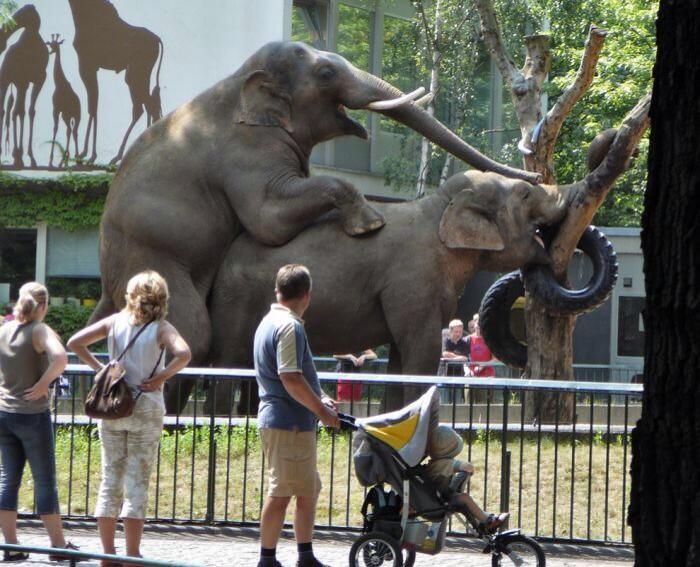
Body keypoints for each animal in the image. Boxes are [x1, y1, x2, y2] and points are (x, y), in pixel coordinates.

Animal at [0, 4, 48, 169]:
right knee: (7, 111)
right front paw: (19, 156)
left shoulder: (38, 80)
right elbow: (19, 112)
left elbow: (30, 111)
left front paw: (29, 157)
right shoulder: (22, 80)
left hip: (18, 84)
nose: (3, 38)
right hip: (6, 81)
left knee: (11, 111)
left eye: (23, 13)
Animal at [46, 34, 81, 169]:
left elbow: (55, 128)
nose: (50, 52)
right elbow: (56, 128)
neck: (60, 84)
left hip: (76, 115)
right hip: (66, 116)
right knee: (69, 131)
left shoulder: (55, 109)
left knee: (74, 131)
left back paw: (76, 158)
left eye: (56, 45)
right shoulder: (59, 110)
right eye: (51, 45)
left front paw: (50, 160)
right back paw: (64, 159)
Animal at [68, 0, 164, 165]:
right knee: (149, 105)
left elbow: (92, 107)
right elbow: (94, 105)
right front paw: (89, 155)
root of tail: (157, 39)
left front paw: (86, 154)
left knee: (144, 107)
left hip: (136, 73)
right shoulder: (92, 67)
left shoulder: (86, 65)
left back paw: (120, 156)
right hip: (139, 74)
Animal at [92, 41, 538, 411]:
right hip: (150, 257)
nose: (535, 173)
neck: (239, 79)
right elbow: (269, 220)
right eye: (325, 73)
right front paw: (370, 223)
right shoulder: (247, 153)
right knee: (196, 336)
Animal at [208, 165, 617, 411]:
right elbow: (421, 353)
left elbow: (399, 360)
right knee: (229, 362)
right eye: (526, 195)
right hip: (236, 300)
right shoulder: (413, 281)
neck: (439, 208)